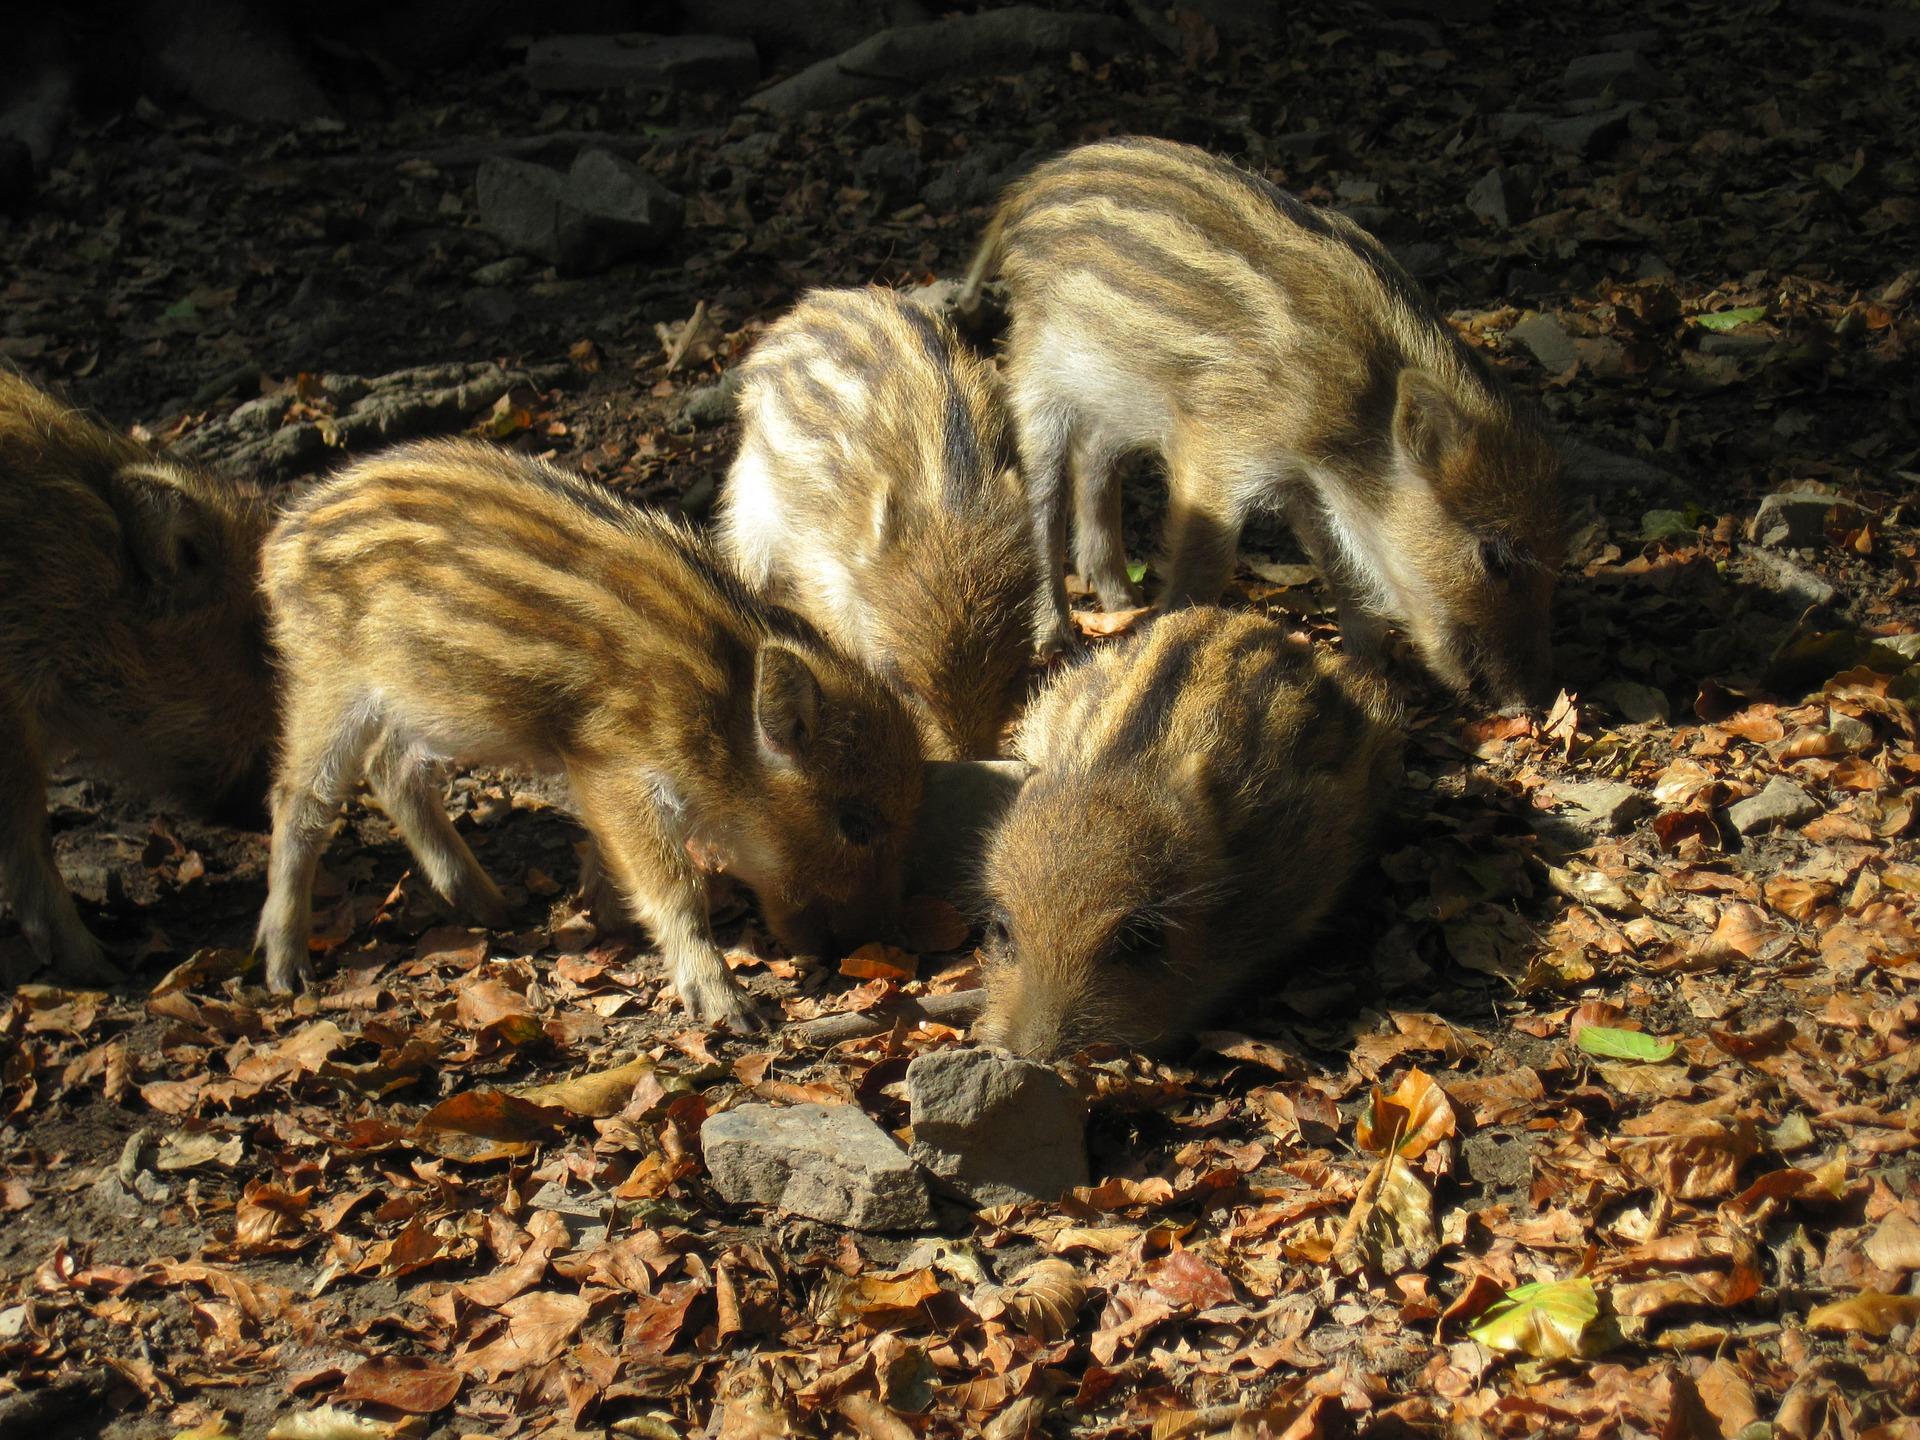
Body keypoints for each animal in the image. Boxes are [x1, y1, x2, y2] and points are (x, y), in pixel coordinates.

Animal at [255, 439, 923, 1031]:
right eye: (854, 824)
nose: (866, 944)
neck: (719, 707)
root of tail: (283, 534)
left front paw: (607, 920)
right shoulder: (611, 762)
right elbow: (675, 885)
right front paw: (732, 1010)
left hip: (427, 698)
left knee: (392, 770)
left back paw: (492, 907)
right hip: (327, 678)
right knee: (300, 800)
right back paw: (285, 973)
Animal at [716, 287, 1040, 761]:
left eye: (1013, 676)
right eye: (901, 682)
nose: (967, 761)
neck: (949, 497)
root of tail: (812, 304)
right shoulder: (817, 558)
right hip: (750, 506)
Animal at [959, 135, 1564, 710]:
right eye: (1496, 556)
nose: (1532, 703)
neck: (1361, 412)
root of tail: (1029, 188)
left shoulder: (1310, 483)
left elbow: (1342, 563)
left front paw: (1367, 667)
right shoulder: (1219, 444)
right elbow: (1207, 562)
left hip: (1116, 396)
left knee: (1094, 462)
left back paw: (1122, 604)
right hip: (1038, 375)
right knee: (1042, 500)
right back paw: (1057, 640)